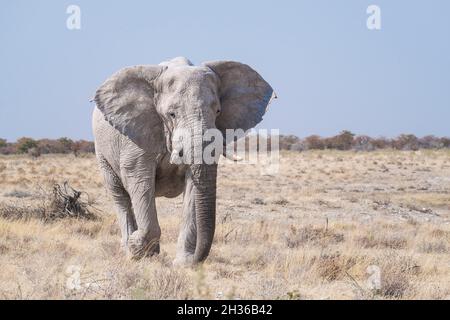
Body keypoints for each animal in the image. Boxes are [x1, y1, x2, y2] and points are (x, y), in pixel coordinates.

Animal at [91, 57, 274, 264]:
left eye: (218, 111)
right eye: (172, 114)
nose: (197, 259)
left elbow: (193, 187)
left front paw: (183, 263)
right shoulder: (137, 133)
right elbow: (139, 179)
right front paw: (137, 247)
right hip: (102, 151)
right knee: (120, 196)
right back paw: (129, 248)